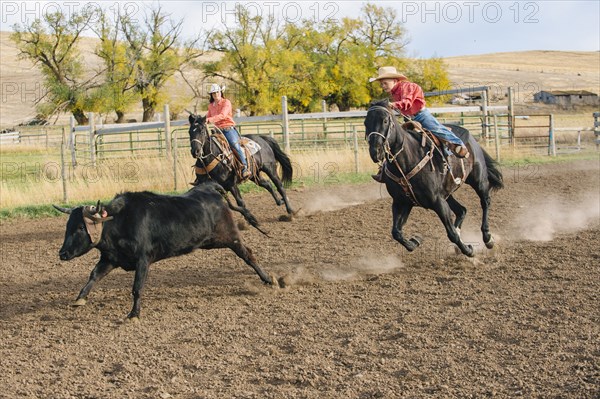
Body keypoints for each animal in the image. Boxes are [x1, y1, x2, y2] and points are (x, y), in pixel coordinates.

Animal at [54, 183, 274, 320]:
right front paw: (80, 299)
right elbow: (94, 275)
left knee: (248, 254)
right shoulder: (111, 259)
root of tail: (211, 188)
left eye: (80, 228)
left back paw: (268, 279)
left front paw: (134, 314)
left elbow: (137, 287)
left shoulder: (143, 260)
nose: (62, 254)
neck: (119, 221)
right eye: (67, 226)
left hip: (229, 236)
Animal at [366, 99, 502, 256]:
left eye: (385, 120)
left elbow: (451, 234)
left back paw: (488, 238)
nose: (375, 152)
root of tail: (471, 138)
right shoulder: (402, 202)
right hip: (447, 193)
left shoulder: (437, 201)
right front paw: (415, 242)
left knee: (485, 202)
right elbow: (396, 232)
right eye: (365, 122)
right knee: (462, 210)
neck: (407, 160)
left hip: (478, 179)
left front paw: (469, 250)